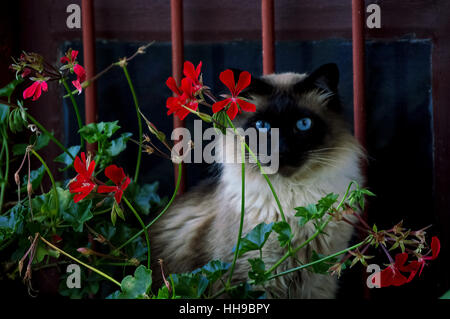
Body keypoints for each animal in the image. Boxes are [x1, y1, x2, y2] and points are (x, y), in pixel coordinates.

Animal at [151, 63, 366, 298]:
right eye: (263, 125)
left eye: (303, 124)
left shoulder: (319, 280)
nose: (282, 151)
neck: (293, 199)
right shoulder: (252, 278)